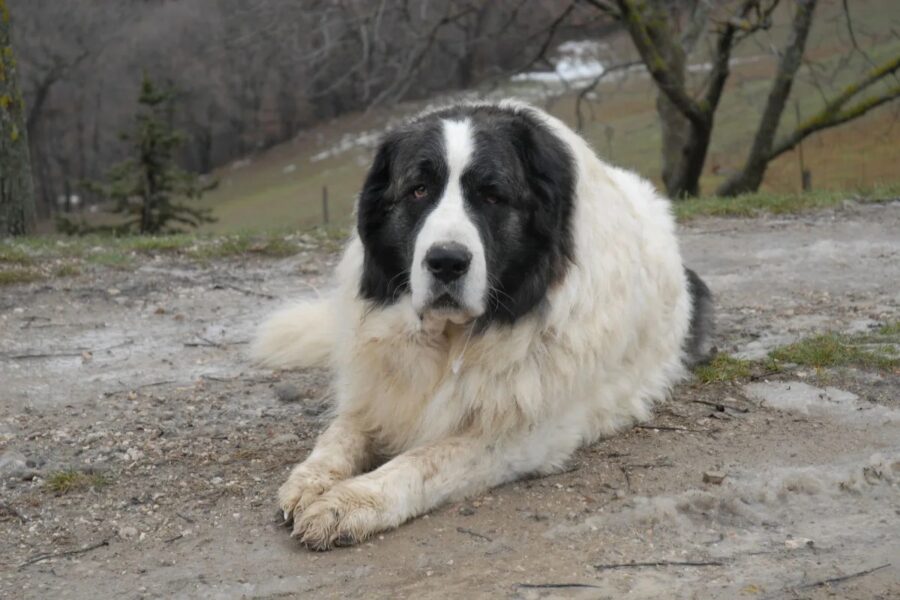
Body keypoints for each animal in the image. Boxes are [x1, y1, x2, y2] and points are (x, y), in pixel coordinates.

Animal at [251, 101, 712, 552]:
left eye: (491, 196)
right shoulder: (377, 390)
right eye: (419, 190)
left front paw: (351, 501)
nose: (446, 262)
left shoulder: (523, 434)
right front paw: (310, 480)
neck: (452, 339)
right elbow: (340, 434)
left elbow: (424, 460)